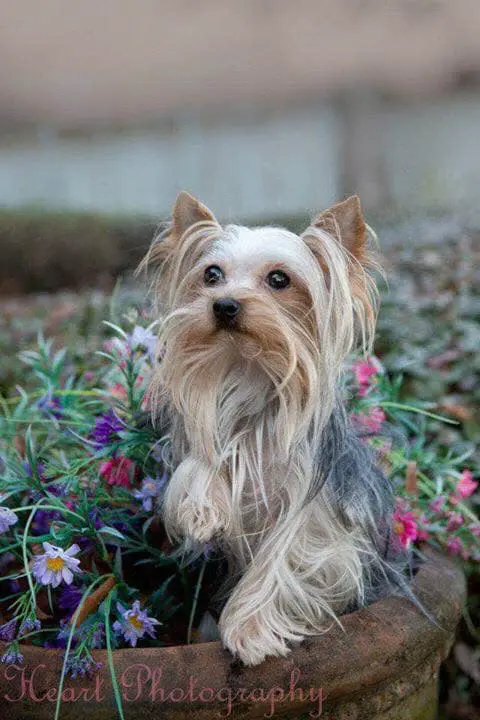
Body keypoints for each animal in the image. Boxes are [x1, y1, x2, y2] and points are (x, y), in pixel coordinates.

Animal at [144, 191, 406, 664]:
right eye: (211, 274)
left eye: (279, 279)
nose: (224, 304)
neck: (250, 370)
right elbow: (205, 456)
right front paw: (201, 509)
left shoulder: (316, 516)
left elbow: (286, 559)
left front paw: (248, 632)